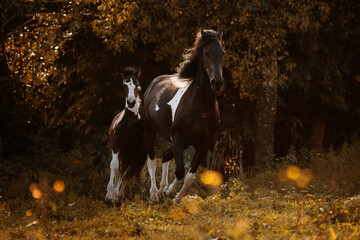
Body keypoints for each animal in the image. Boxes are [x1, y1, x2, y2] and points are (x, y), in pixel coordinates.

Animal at [104, 67, 146, 206]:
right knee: (118, 167)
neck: (129, 122)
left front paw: (116, 196)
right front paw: (109, 195)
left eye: (137, 85)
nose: (131, 102)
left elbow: (127, 170)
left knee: (126, 170)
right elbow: (114, 166)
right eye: (124, 85)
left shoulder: (135, 151)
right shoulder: (116, 145)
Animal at [141, 28, 224, 204]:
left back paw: (161, 189)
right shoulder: (178, 139)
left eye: (222, 53)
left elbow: (189, 177)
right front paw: (169, 192)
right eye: (206, 53)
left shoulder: (203, 145)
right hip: (150, 130)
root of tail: (155, 82)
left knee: (165, 156)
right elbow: (179, 171)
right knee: (152, 160)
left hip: (180, 143)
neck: (201, 109)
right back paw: (154, 194)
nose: (217, 82)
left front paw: (175, 198)